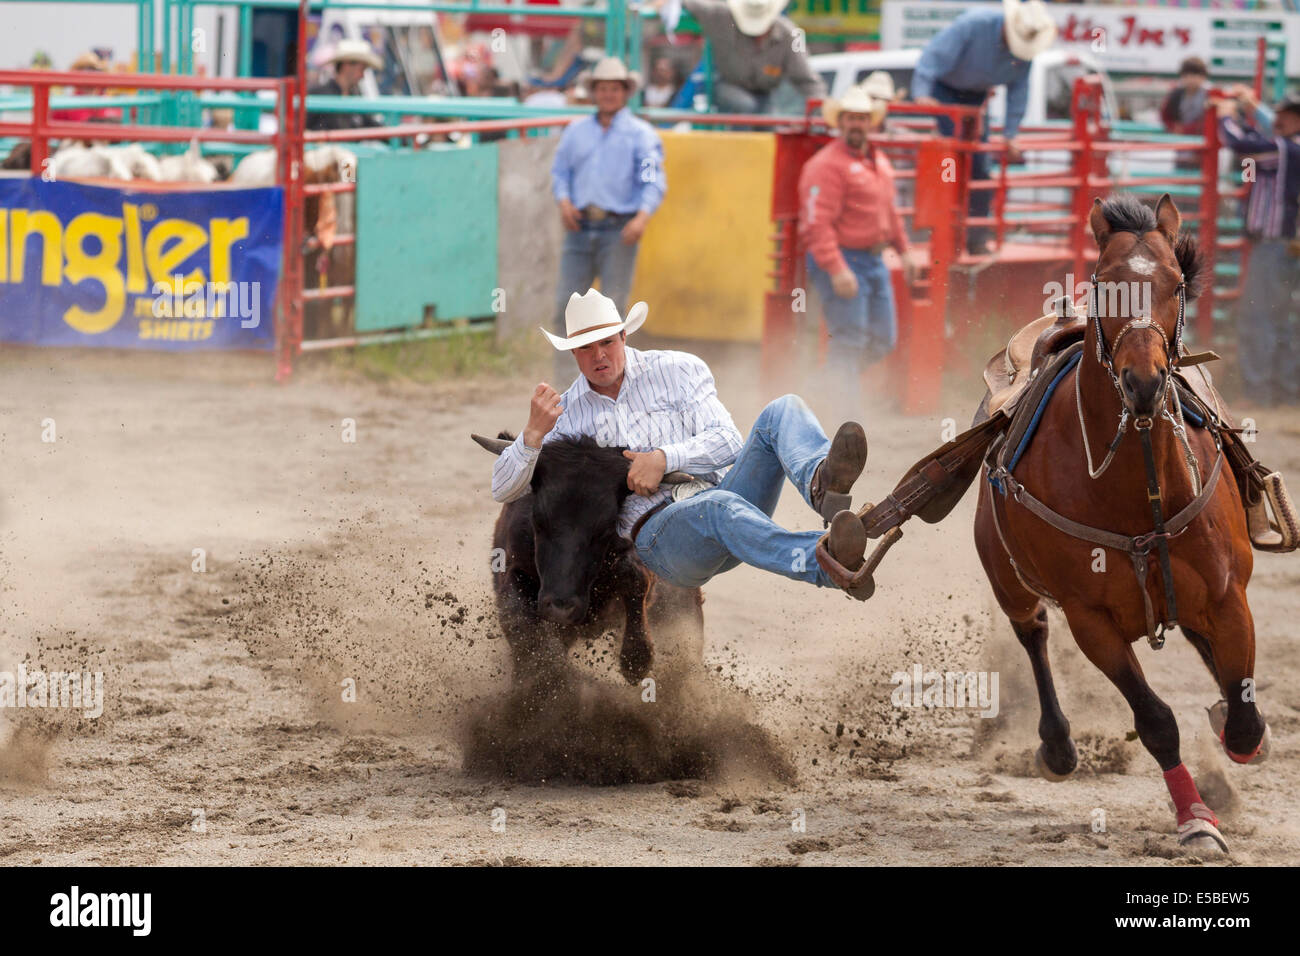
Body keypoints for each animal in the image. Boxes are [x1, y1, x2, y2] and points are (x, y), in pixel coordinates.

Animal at [977, 192, 1268, 853]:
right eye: (1103, 282)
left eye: (1176, 283)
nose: (1143, 381)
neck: (1138, 488)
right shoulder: (1092, 621)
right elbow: (1156, 721)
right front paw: (1196, 821)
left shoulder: (1228, 595)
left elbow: (1242, 716)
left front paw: (1240, 733)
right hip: (1007, 579)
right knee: (1032, 633)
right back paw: (1057, 746)